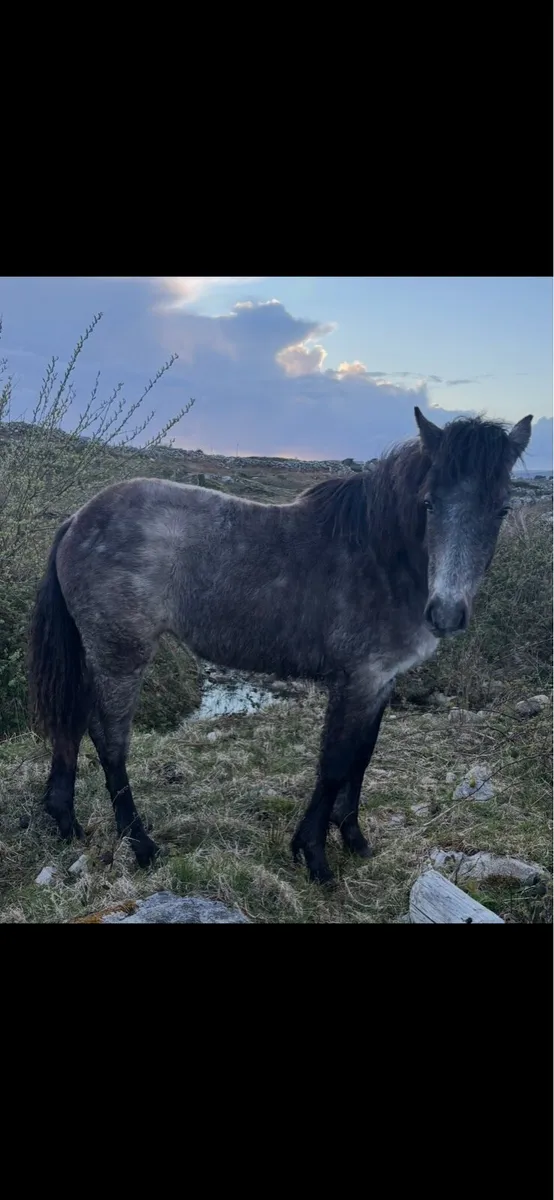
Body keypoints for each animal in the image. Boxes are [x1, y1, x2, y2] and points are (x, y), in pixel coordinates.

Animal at [28, 407, 532, 884]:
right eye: (429, 504)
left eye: (502, 510)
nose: (446, 613)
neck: (381, 558)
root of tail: (78, 519)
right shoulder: (357, 680)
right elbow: (335, 765)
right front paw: (314, 857)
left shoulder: (381, 683)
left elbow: (362, 759)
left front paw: (354, 839)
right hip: (122, 654)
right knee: (109, 740)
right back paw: (141, 844)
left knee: (72, 722)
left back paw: (65, 821)